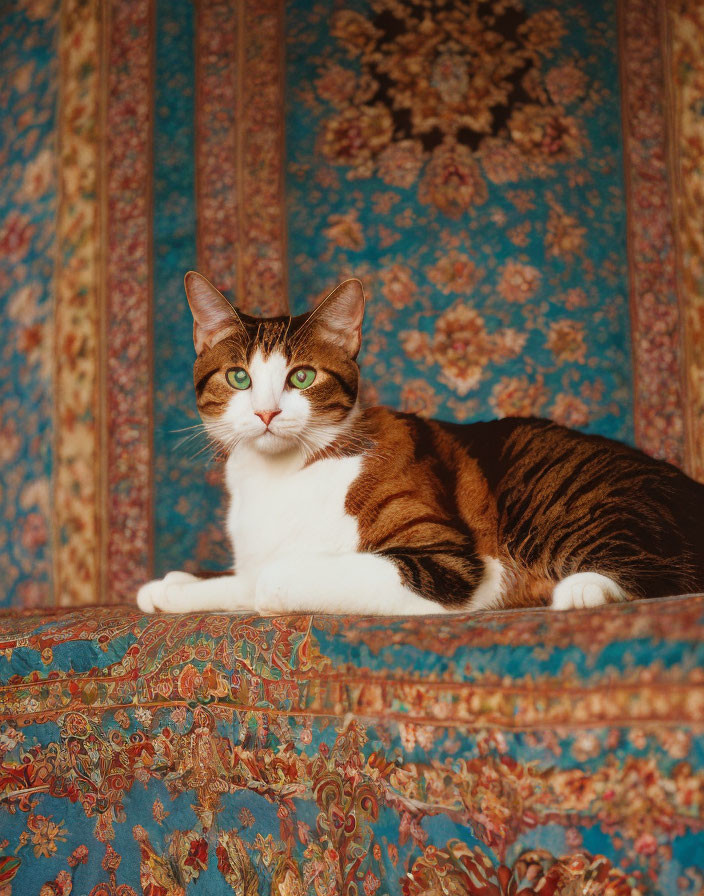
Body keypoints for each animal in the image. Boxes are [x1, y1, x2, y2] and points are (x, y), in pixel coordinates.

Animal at [136, 272, 704, 616]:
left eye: (301, 377)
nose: (267, 413)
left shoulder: (447, 562)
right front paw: (174, 587)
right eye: (239, 377)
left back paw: (583, 590)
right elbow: (244, 576)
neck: (278, 477)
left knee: (674, 573)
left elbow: (270, 579)